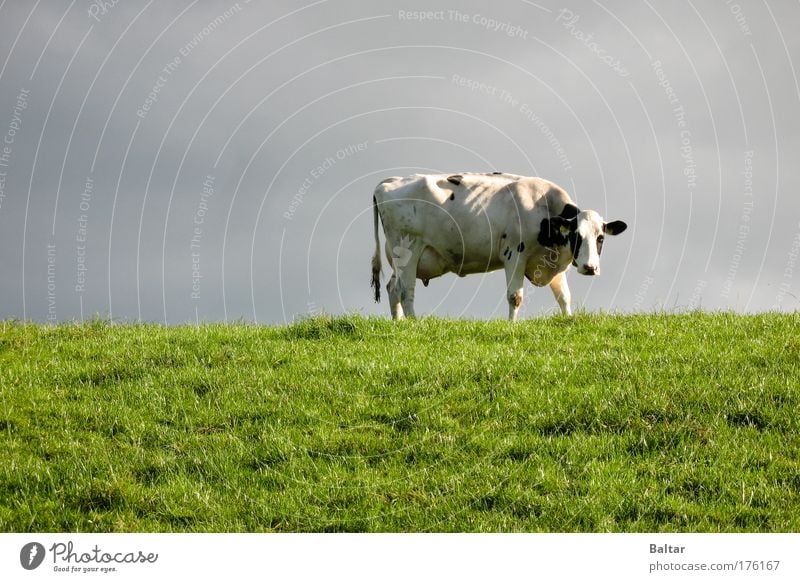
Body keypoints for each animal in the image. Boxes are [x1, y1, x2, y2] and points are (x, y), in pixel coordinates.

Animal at [372, 173, 628, 322]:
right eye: (576, 235)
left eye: (600, 238)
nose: (590, 267)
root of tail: (388, 181)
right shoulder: (515, 254)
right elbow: (515, 296)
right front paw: (511, 325)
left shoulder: (553, 261)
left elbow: (564, 297)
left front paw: (568, 320)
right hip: (407, 248)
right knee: (405, 290)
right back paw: (414, 323)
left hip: (401, 258)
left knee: (392, 287)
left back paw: (398, 323)